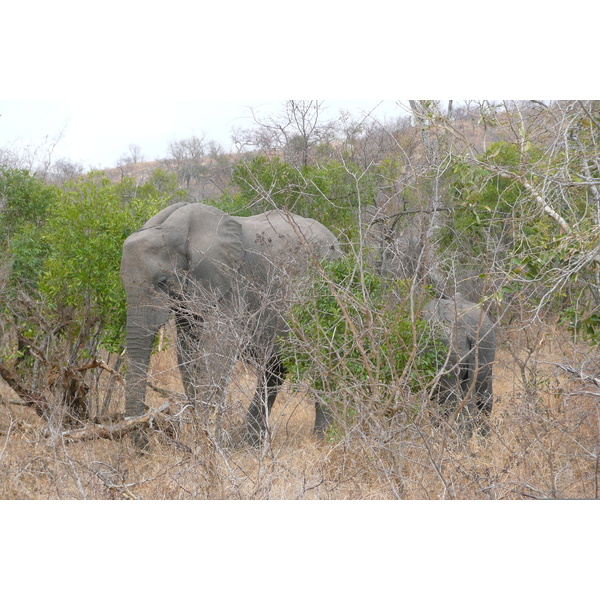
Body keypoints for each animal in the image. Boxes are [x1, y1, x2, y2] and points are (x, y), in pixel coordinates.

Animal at [120, 202, 342, 446]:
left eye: (162, 281)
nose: (143, 443)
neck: (174, 230)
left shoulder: (232, 283)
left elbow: (218, 350)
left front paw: (209, 440)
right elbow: (187, 353)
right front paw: (200, 436)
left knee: (323, 361)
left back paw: (322, 440)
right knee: (274, 370)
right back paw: (249, 444)